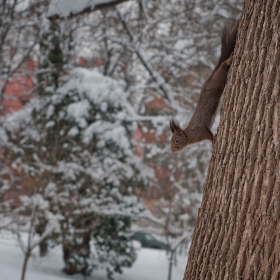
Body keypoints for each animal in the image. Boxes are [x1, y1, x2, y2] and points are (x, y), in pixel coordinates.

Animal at [170, 20, 237, 153]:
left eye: (177, 141)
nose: (172, 150)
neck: (190, 136)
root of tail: (210, 78)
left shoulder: (201, 132)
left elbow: (209, 135)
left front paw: (214, 142)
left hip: (218, 80)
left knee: (223, 66)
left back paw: (228, 60)